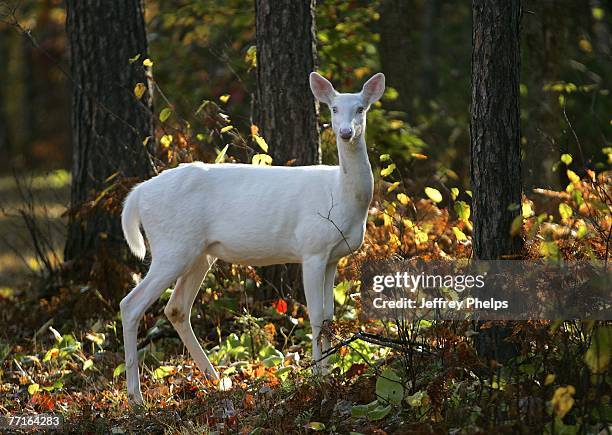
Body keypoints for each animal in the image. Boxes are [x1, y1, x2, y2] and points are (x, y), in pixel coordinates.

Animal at [119, 70, 384, 406]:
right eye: (334, 109)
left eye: (361, 108)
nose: (346, 132)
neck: (342, 195)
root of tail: (138, 194)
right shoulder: (311, 249)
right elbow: (315, 315)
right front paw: (317, 379)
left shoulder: (333, 256)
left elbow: (328, 317)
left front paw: (329, 373)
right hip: (172, 247)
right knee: (131, 305)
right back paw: (136, 397)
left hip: (200, 253)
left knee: (176, 308)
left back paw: (217, 380)